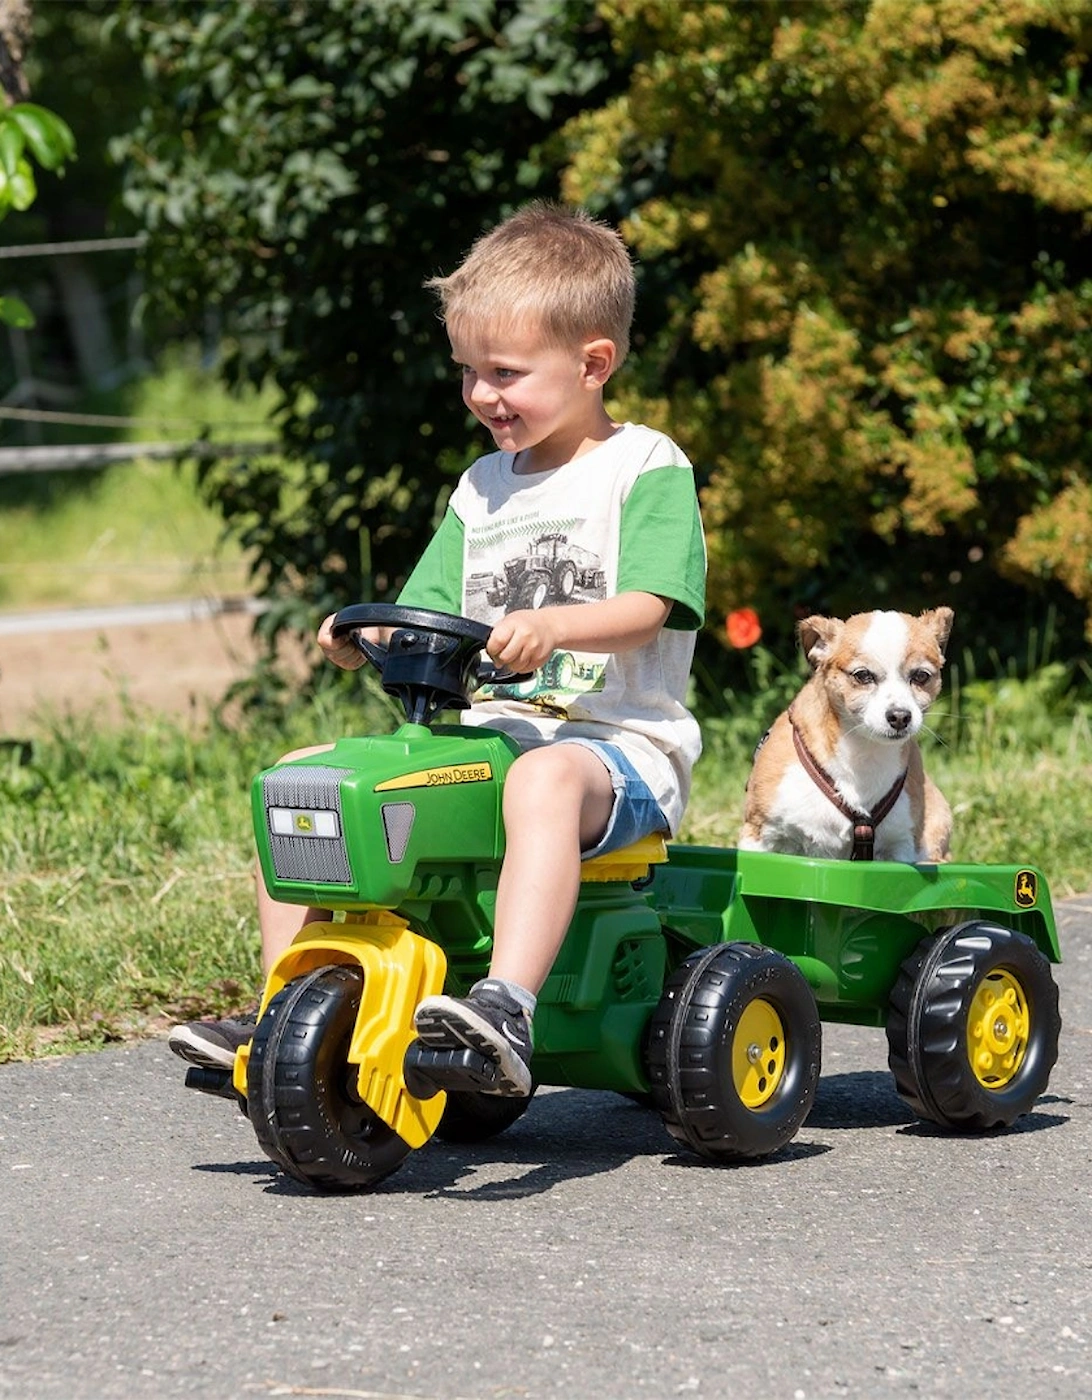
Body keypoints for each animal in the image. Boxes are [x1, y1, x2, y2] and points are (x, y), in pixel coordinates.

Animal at [739, 607, 952, 856]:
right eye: (863, 675)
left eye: (921, 676)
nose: (900, 716)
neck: (864, 754)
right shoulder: (759, 835)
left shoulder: (901, 846)